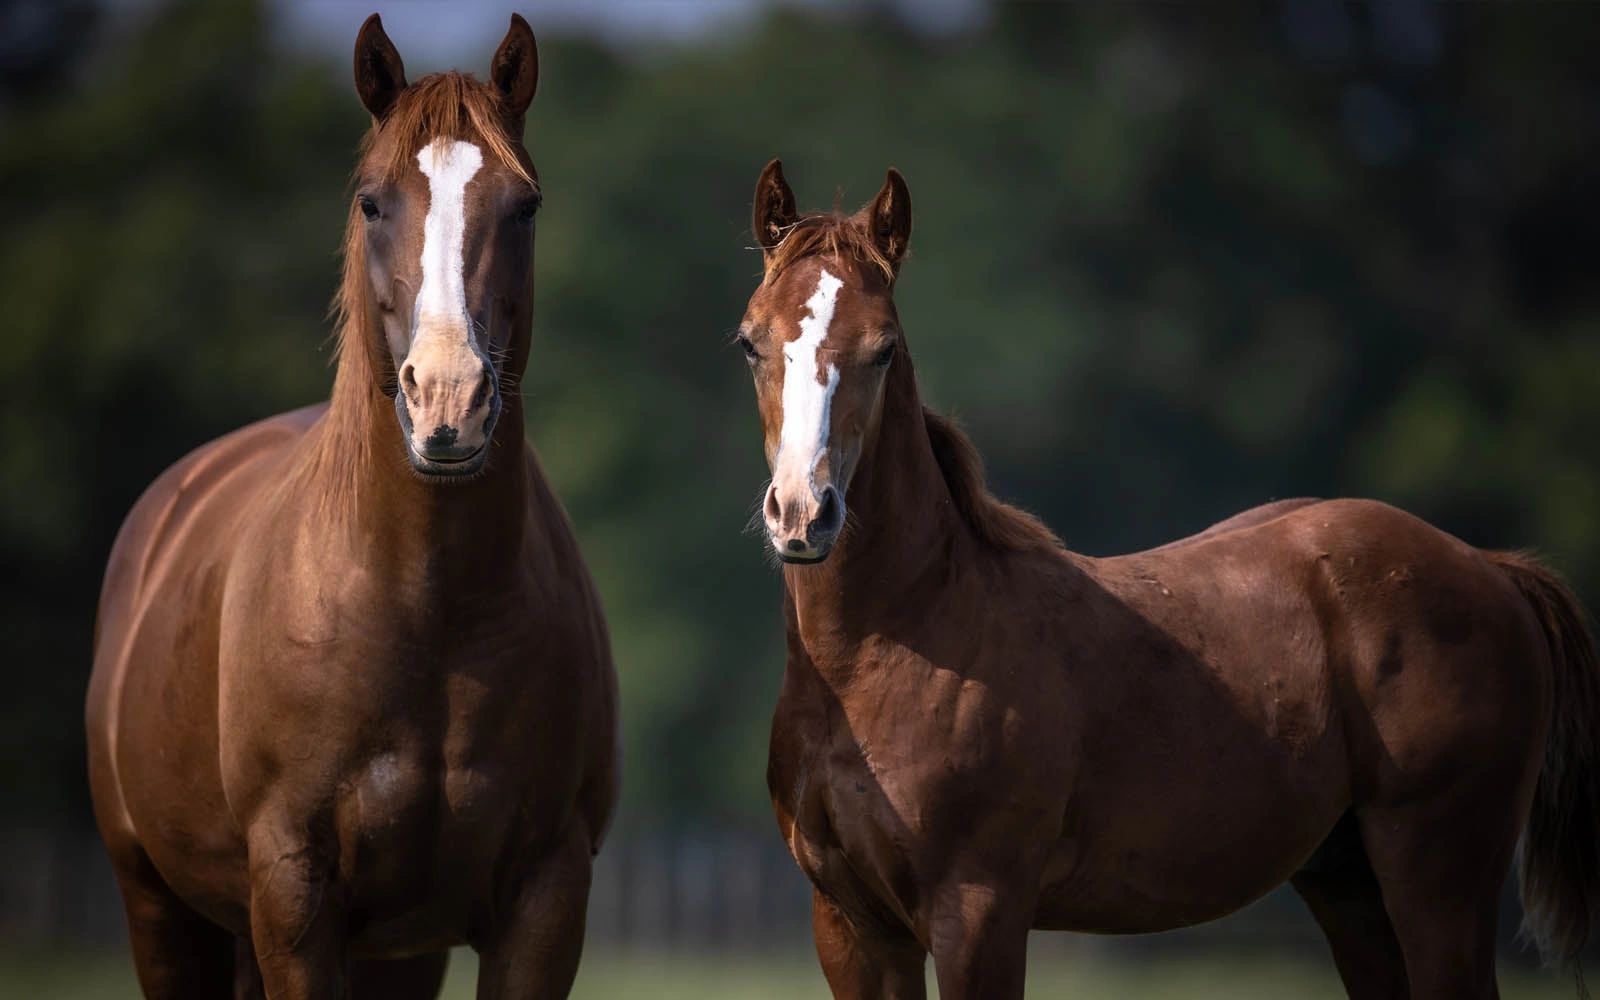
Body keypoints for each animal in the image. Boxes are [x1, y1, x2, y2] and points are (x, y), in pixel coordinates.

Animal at [85, 15, 618, 998]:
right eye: (372, 202)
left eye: (524, 207)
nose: (447, 399)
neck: (426, 608)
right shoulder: (294, 897)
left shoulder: (544, 902)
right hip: (160, 913)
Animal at [735, 158, 1600, 999]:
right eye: (750, 342)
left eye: (883, 347)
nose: (804, 513)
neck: (898, 644)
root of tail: (1493, 570)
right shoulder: (851, 927)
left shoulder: (978, 914)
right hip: (1350, 886)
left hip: (1438, 882)